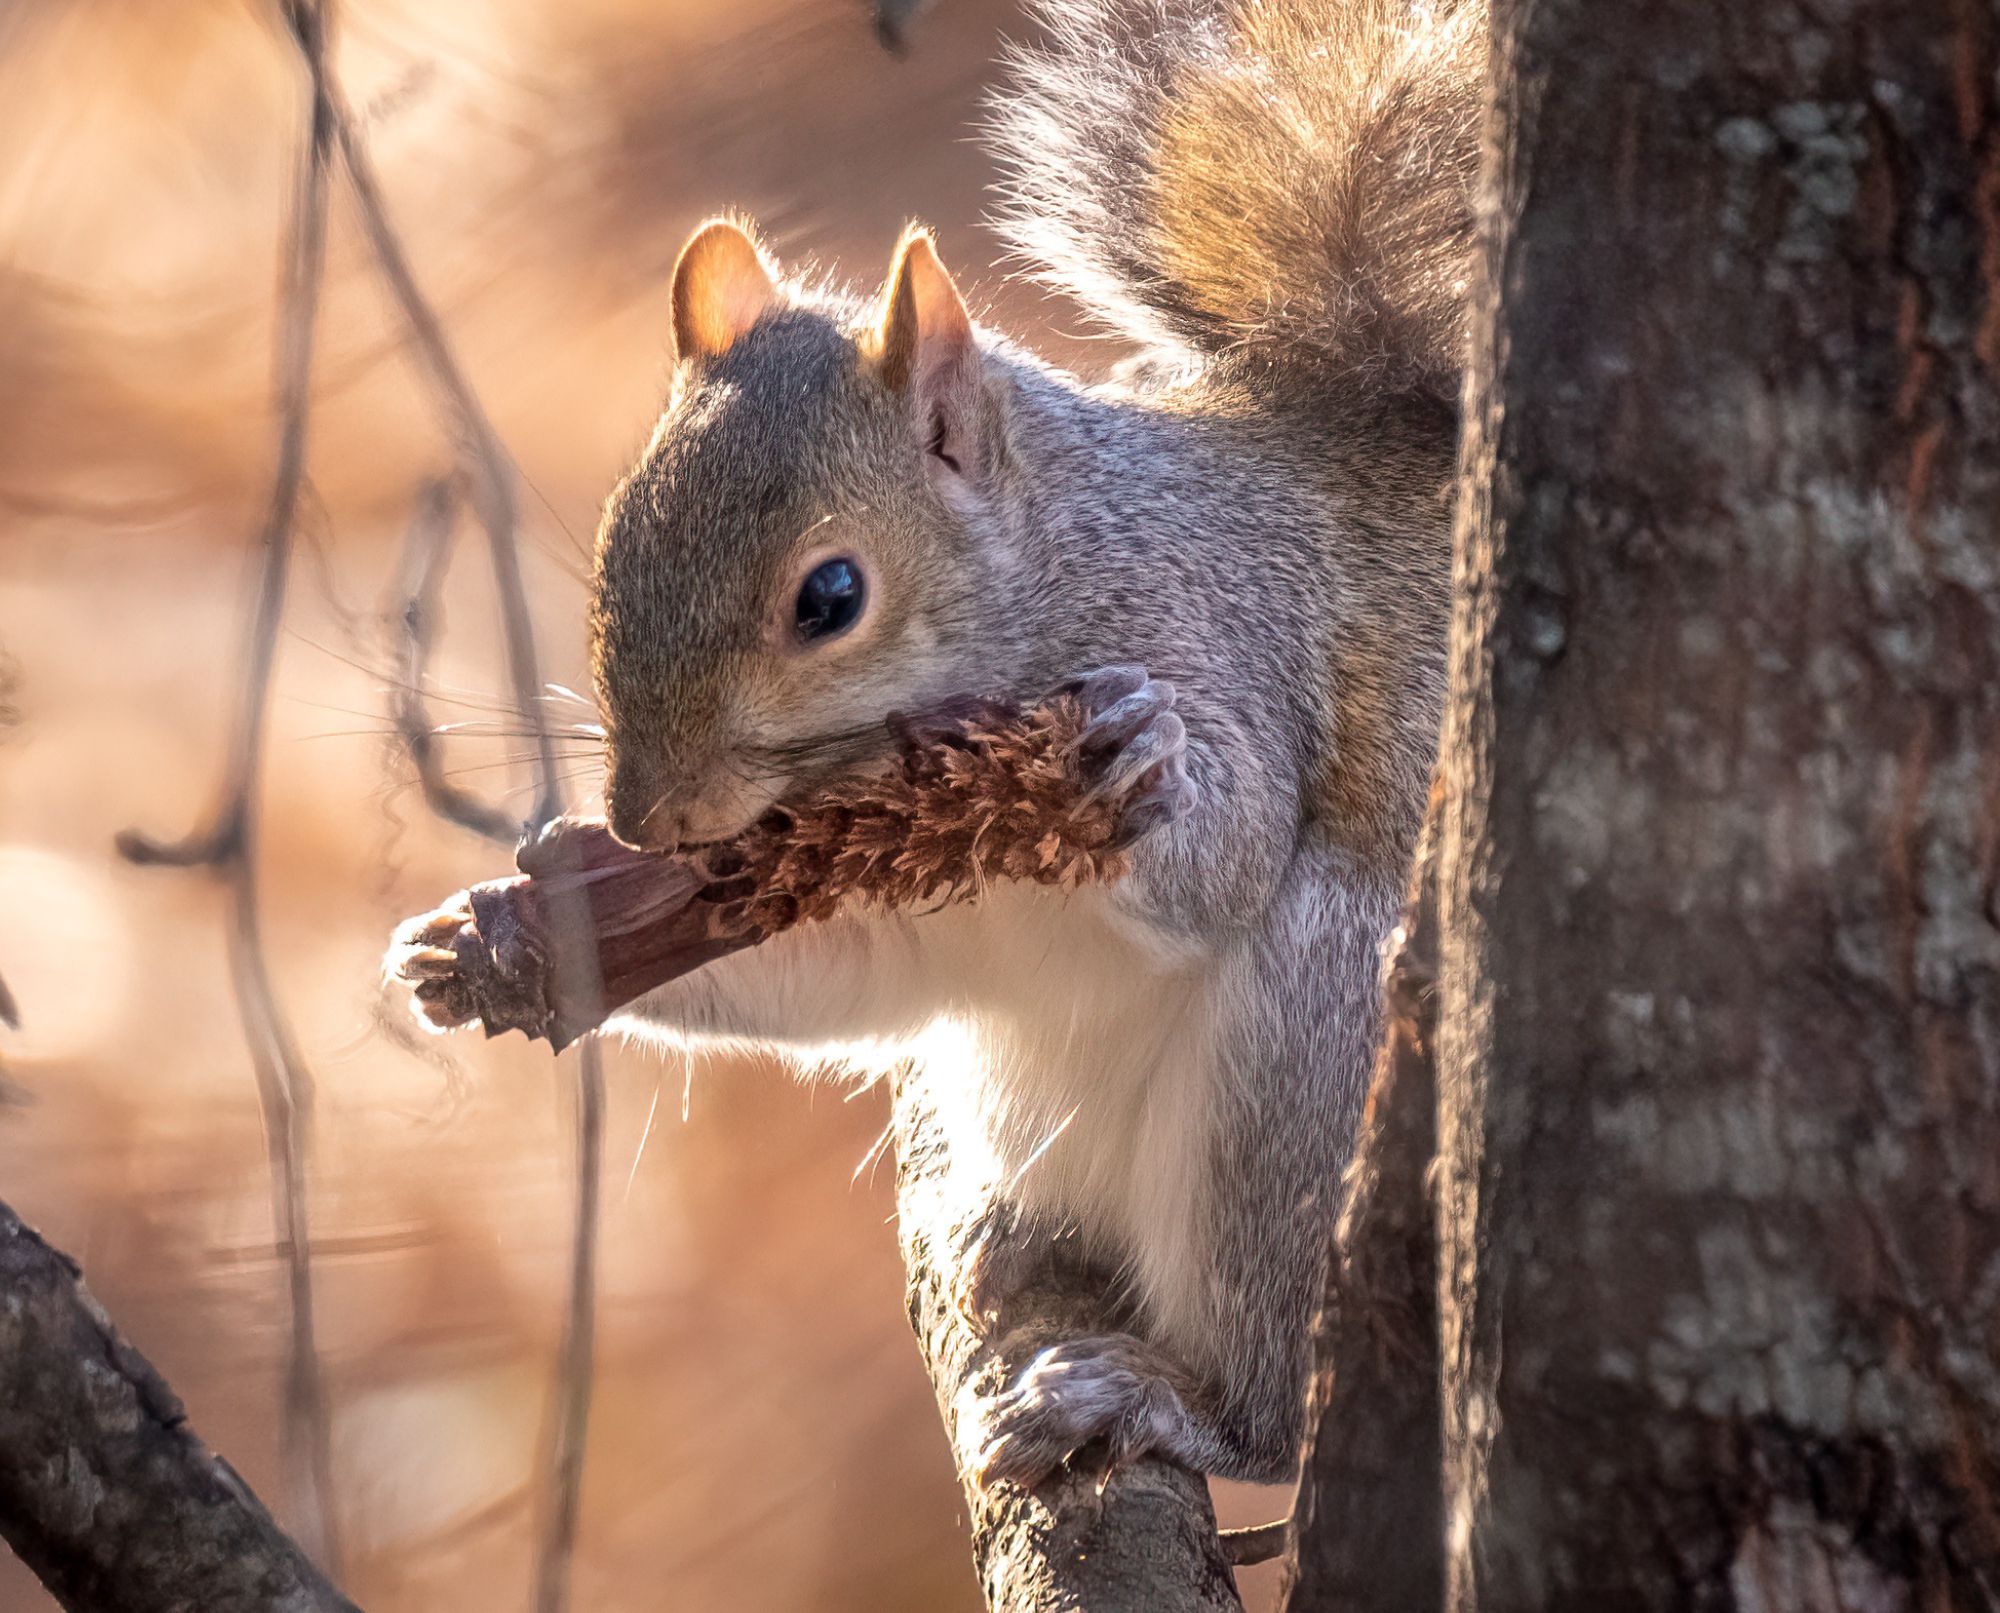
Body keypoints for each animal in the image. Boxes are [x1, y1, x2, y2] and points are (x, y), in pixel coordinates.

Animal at [562, 0, 1479, 1487]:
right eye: (613, 541)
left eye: (830, 597)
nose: (648, 819)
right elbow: (832, 974)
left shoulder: (1222, 637)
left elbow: (1227, 845)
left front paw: (1138, 777)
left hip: (1312, 1065)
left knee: (1276, 1403)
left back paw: (1171, 1400)